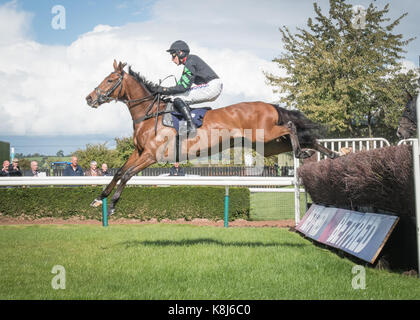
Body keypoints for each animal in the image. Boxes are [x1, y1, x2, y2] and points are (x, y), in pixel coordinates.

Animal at [85, 60, 338, 215]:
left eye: (110, 80)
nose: (89, 98)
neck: (149, 114)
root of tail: (268, 105)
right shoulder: (139, 152)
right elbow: (119, 172)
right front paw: (99, 198)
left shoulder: (151, 156)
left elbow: (128, 174)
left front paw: (113, 205)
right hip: (269, 145)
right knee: (302, 137)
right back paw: (329, 154)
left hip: (267, 134)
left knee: (291, 126)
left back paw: (304, 152)